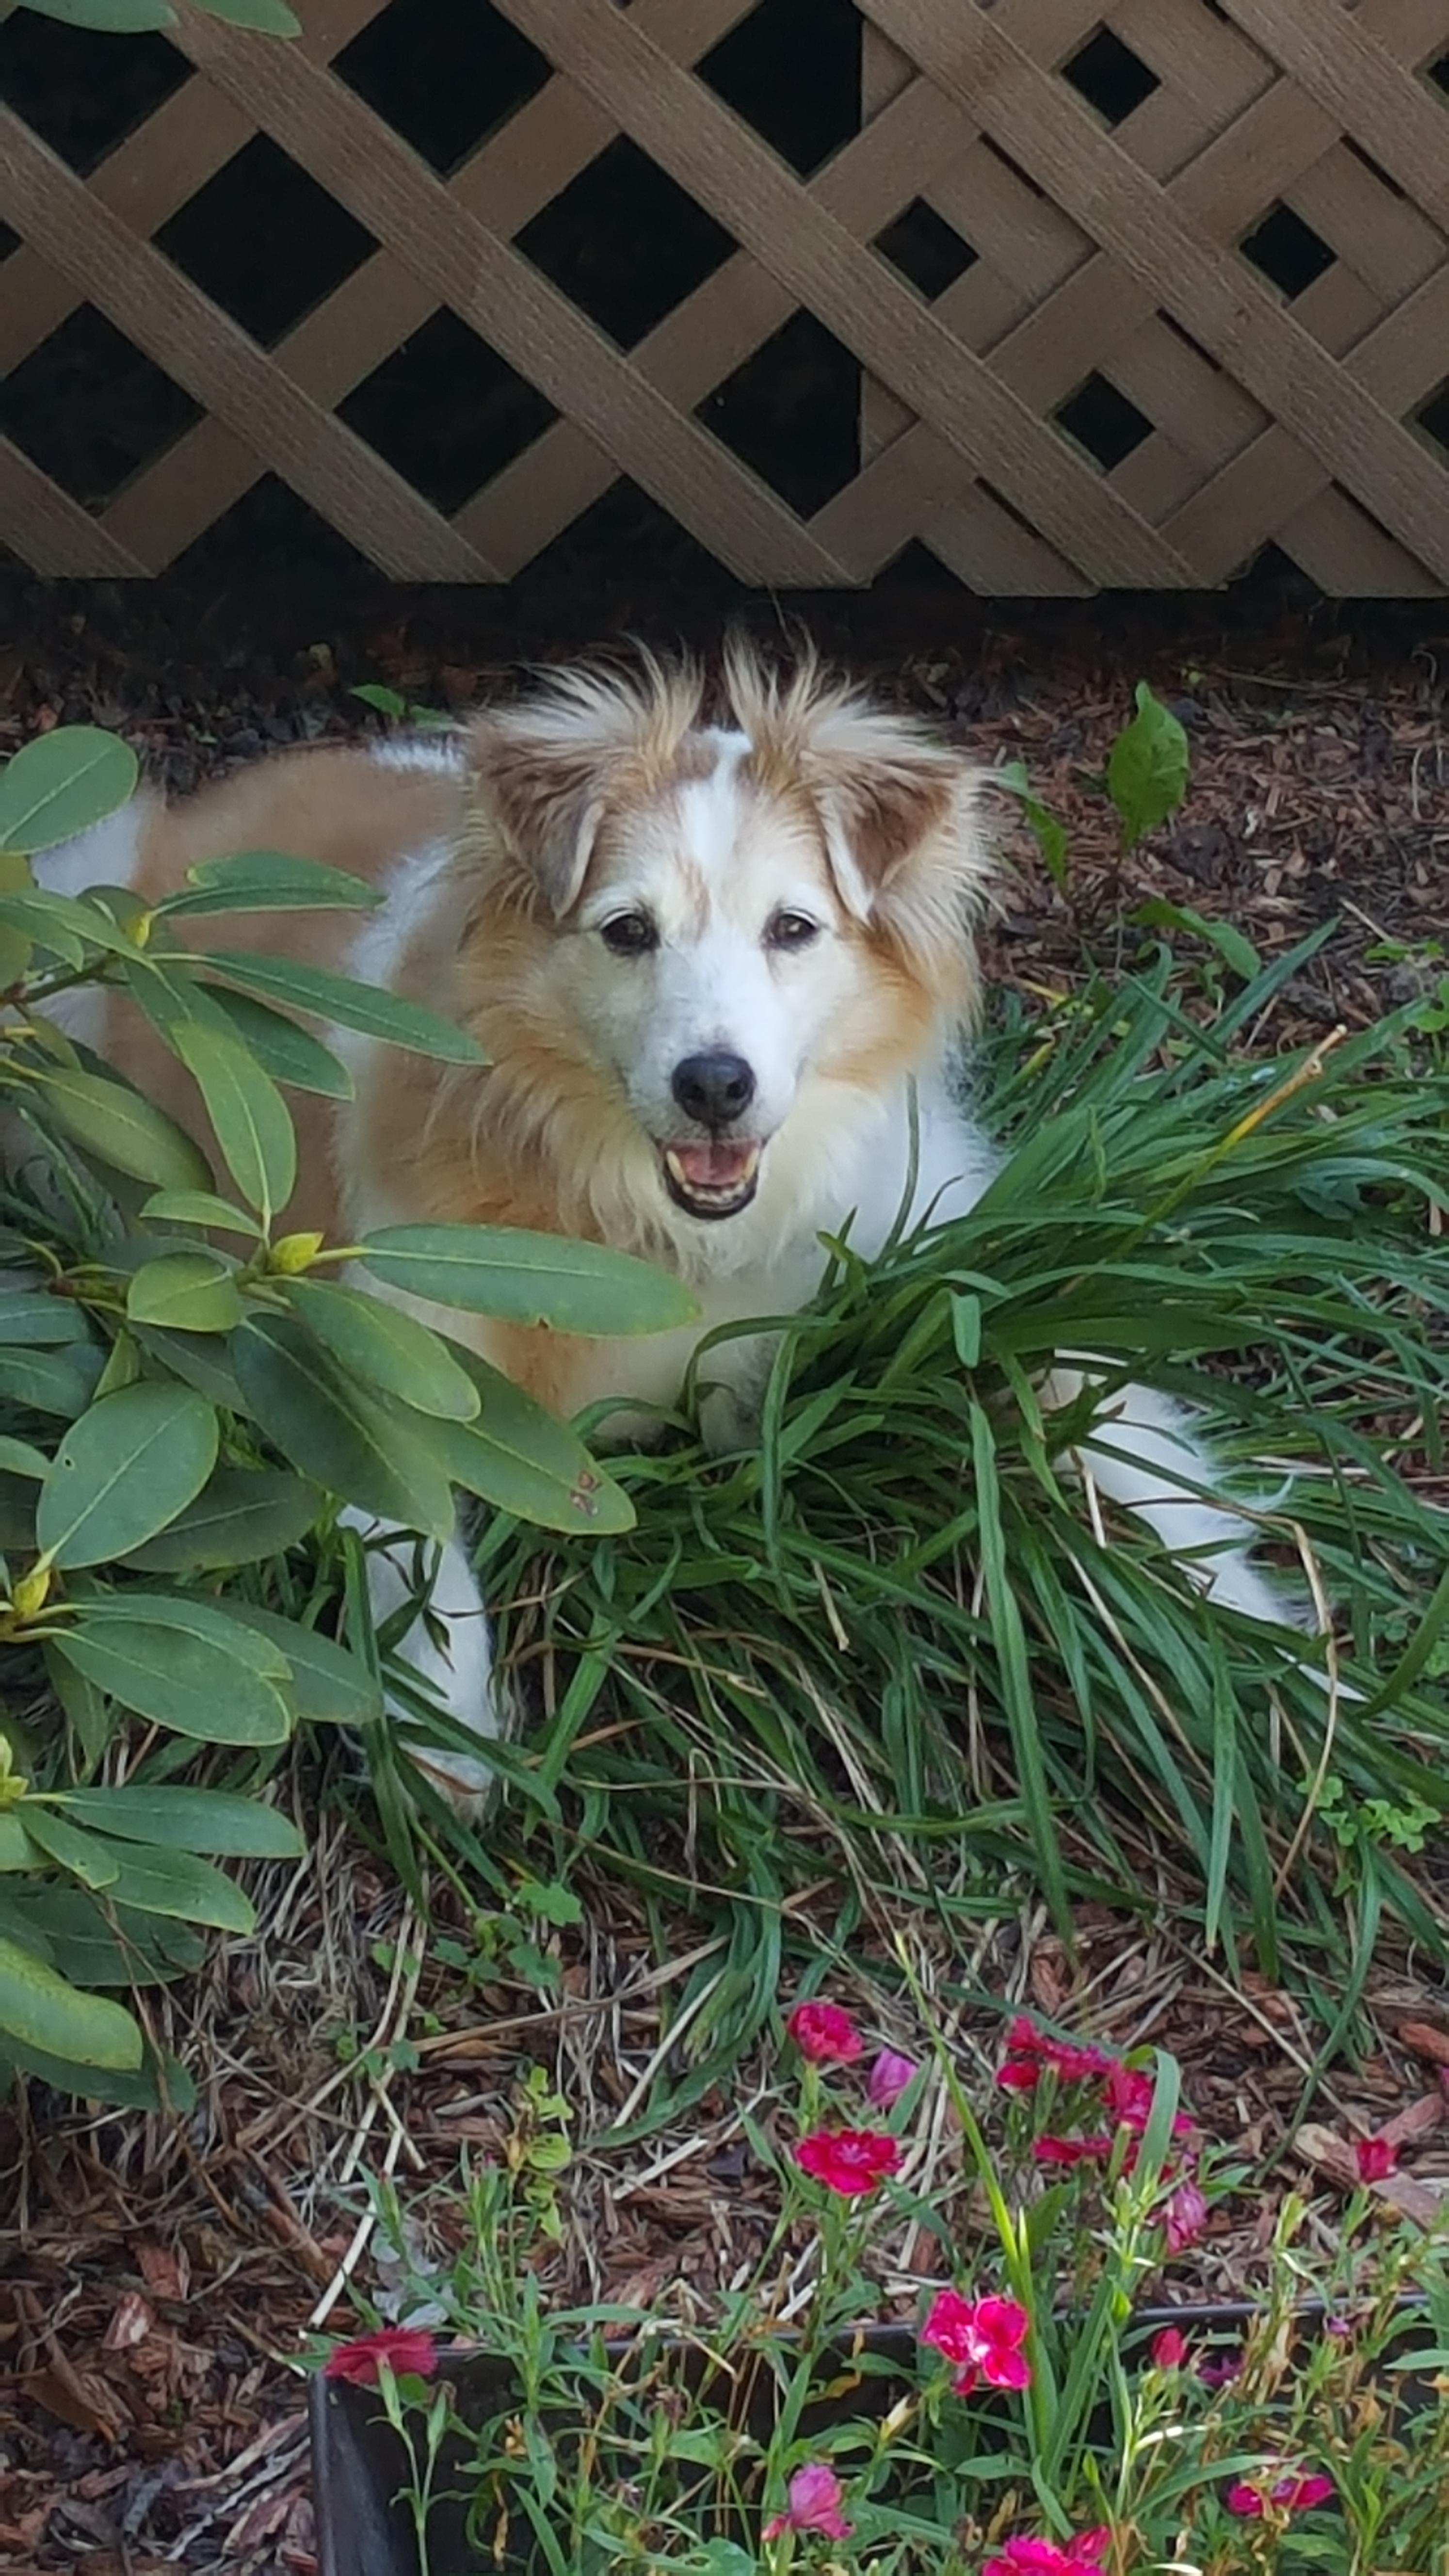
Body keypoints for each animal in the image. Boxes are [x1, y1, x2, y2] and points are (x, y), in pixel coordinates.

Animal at [30, 643, 1304, 1800]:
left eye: (793, 929)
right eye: (627, 931)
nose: (714, 1085)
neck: (660, 1231)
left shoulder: (948, 1256)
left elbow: (1111, 1409)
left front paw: (1252, 1610)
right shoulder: (371, 1354)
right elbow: (414, 1550)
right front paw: (452, 1736)